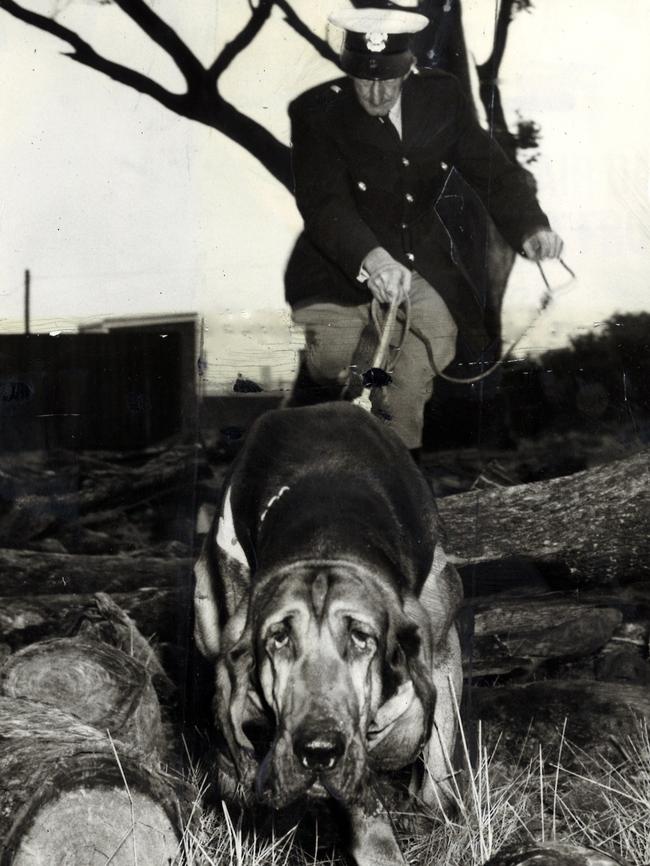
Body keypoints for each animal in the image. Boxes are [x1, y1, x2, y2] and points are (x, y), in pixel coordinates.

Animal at [192, 402, 460, 860]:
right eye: (278, 639)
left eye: (361, 638)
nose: (317, 752)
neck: (327, 532)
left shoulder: (441, 647)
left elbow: (431, 750)